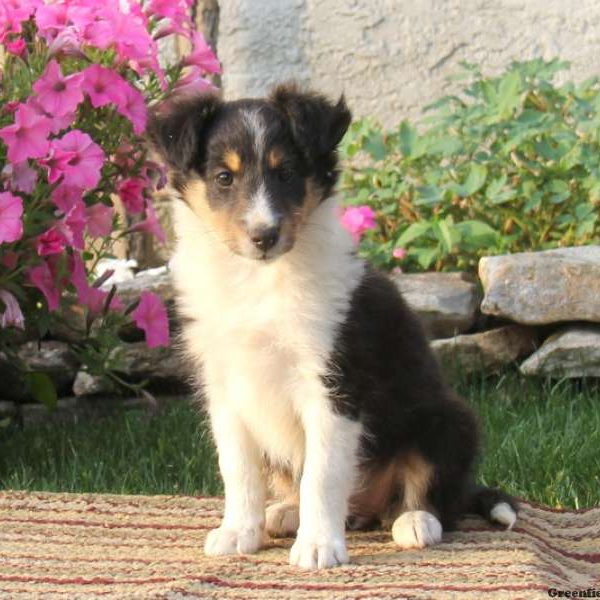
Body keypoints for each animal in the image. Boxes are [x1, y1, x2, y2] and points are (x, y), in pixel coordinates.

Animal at [149, 83, 516, 568]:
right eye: (224, 178)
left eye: (286, 173)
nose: (264, 236)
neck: (258, 281)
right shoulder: (224, 387)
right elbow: (239, 469)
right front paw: (238, 533)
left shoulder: (334, 385)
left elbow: (321, 475)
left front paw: (319, 547)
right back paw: (285, 513)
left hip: (448, 418)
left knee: (435, 494)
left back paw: (415, 521)